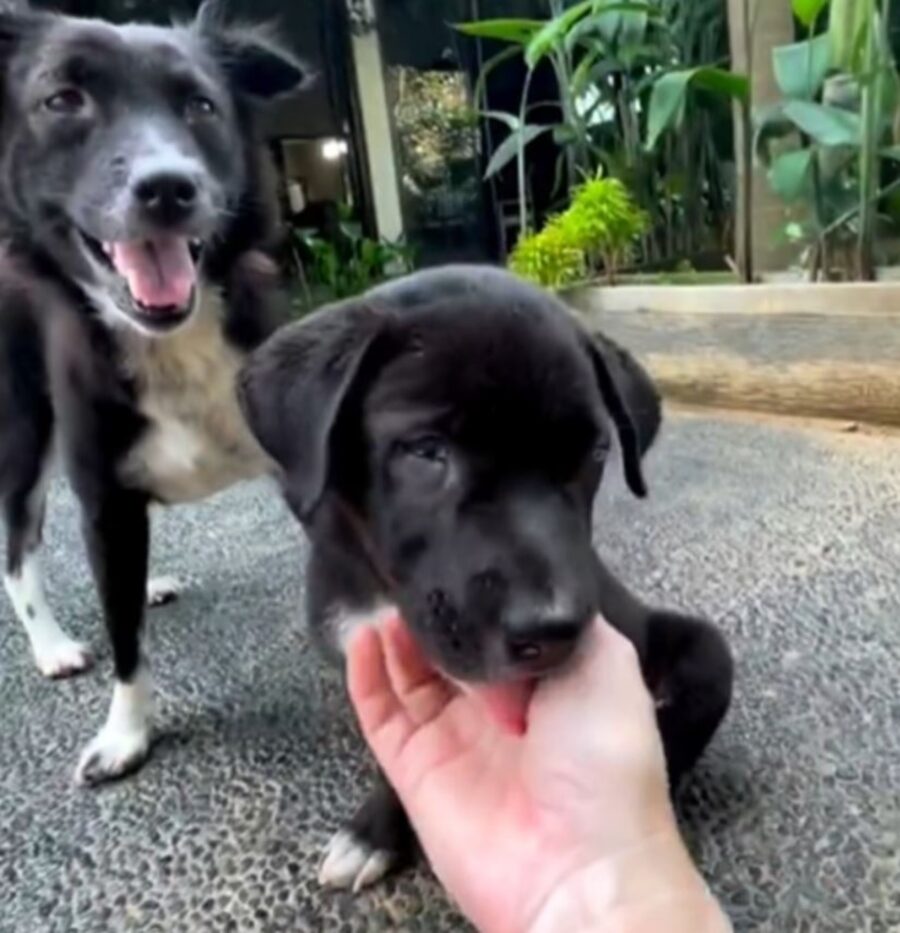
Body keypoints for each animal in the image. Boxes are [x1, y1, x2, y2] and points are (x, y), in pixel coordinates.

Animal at [0, 3, 304, 784]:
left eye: (201, 105)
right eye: (63, 100)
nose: (168, 187)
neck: (174, 340)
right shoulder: (105, 504)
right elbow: (125, 644)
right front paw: (127, 733)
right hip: (22, 440)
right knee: (19, 549)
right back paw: (51, 644)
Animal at [237, 262, 732, 888]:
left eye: (595, 452)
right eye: (427, 451)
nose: (552, 630)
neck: (385, 592)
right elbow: (393, 755)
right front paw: (373, 832)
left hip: (700, 649)